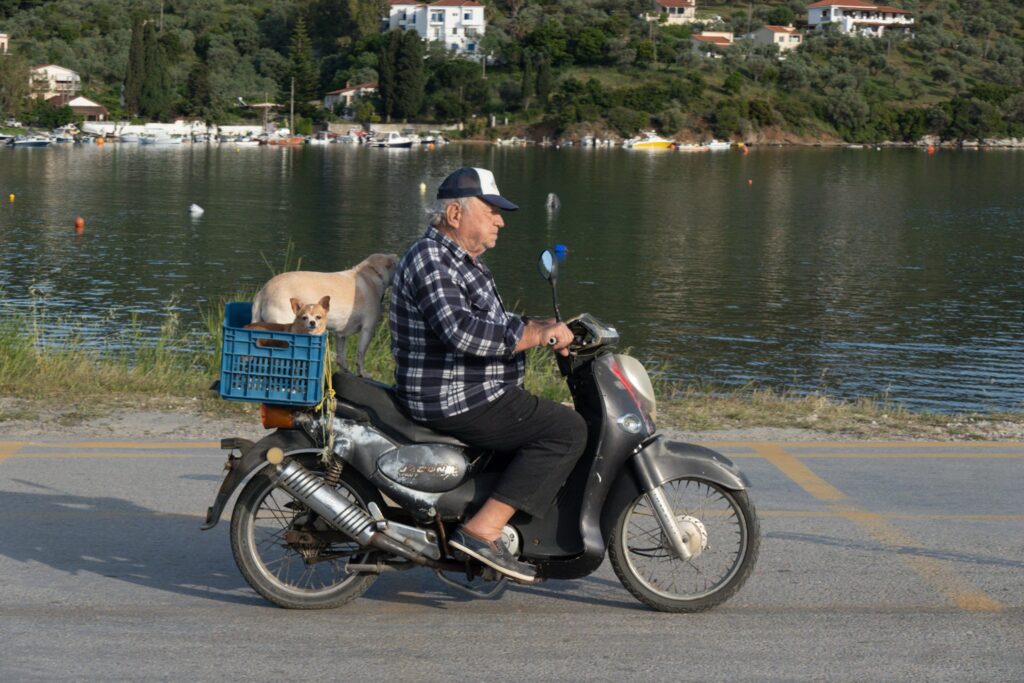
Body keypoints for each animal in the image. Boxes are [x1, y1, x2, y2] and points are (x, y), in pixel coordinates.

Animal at [251, 253, 399, 376]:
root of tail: (263, 291)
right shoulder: (368, 329)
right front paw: (362, 374)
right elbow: (360, 356)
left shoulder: (341, 335)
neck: (372, 274)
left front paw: (345, 371)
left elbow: (341, 357)